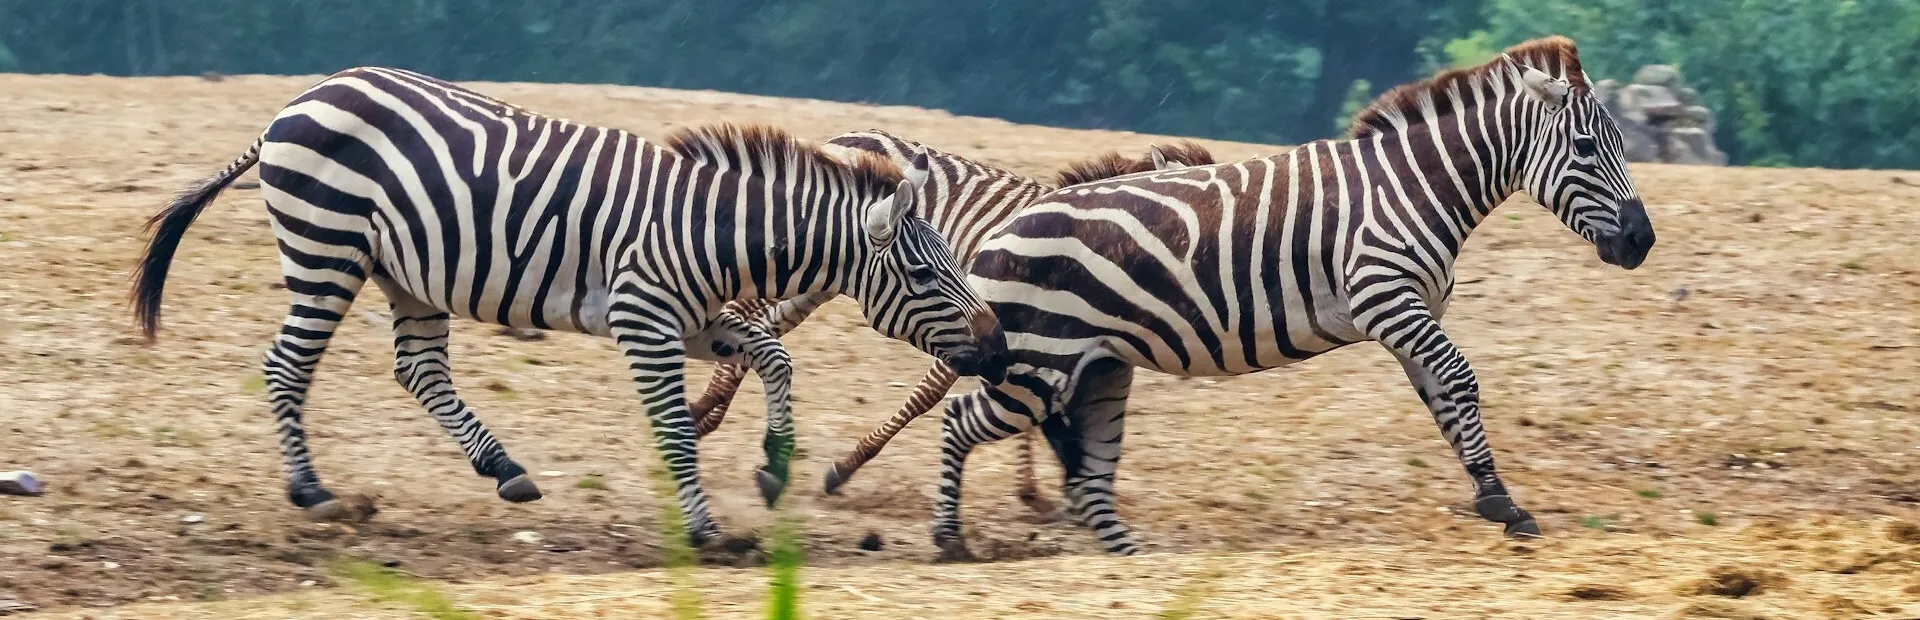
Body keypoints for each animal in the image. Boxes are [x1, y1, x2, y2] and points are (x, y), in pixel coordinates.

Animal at [127, 65, 1013, 545]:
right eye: (927, 275)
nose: (1000, 347)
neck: (711, 229)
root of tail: (301, 99)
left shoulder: (693, 319)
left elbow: (774, 355)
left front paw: (772, 465)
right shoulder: (644, 320)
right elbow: (677, 431)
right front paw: (705, 529)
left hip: (407, 273)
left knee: (419, 371)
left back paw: (505, 470)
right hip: (327, 248)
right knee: (287, 365)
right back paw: (310, 490)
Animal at [679, 128, 1213, 514]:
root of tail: (846, 136)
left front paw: (1036, 489)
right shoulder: (975, 327)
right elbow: (927, 398)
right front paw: (844, 467)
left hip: (823, 281)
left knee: (761, 323)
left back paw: (708, 411)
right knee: (749, 315)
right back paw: (704, 410)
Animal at [913, 34, 1651, 560]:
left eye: (1620, 144)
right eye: (1587, 147)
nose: (1641, 241)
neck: (1414, 186)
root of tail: (1003, 225)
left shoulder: (1410, 314)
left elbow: (1445, 400)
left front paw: (1495, 499)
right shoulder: (1388, 300)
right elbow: (1462, 380)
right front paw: (1500, 501)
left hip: (1098, 366)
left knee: (1091, 467)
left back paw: (1131, 556)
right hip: (1040, 361)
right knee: (960, 420)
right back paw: (949, 540)